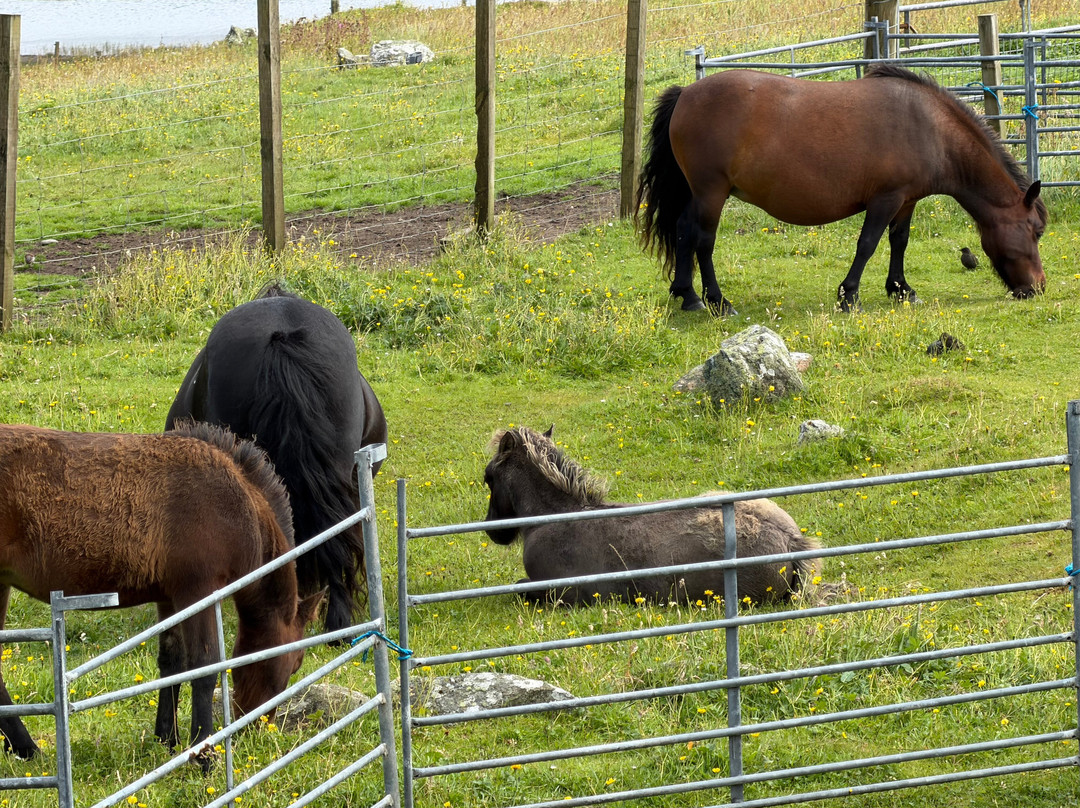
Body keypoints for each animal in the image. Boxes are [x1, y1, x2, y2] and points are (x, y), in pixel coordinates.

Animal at [0, 422, 321, 764]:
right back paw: (26, 747)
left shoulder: (170, 597)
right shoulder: (199, 590)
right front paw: (203, 751)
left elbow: (172, 662)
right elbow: (204, 665)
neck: (237, 505)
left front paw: (167, 739)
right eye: (296, 663)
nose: (257, 728)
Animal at [636, 64, 1047, 315]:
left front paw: (901, 289)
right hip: (712, 193)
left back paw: (688, 296)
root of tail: (686, 92)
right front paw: (849, 295)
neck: (929, 126)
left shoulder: (906, 200)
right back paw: (718, 301)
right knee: (703, 241)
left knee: (683, 232)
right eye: (1036, 231)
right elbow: (867, 244)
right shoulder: (885, 199)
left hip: (697, 194)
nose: (1038, 288)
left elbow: (899, 241)